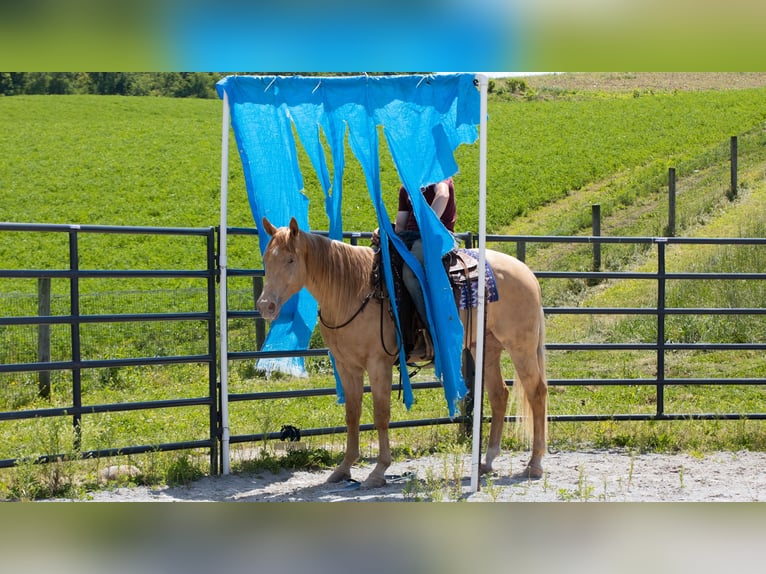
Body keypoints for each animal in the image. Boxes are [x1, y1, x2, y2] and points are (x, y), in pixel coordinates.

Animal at [256, 217, 547, 488]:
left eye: (291, 259)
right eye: (267, 259)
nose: (265, 305)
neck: (355, 289)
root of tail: (526, 272)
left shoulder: (378, 364)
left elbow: (381, 415)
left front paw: (378, 471)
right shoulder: (346, 366)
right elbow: (352, 415)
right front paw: (344, 468)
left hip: (520, 345)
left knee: (536, 391)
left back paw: (534, 464)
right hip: (487, 347)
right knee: (499, 394)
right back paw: (487, 461)